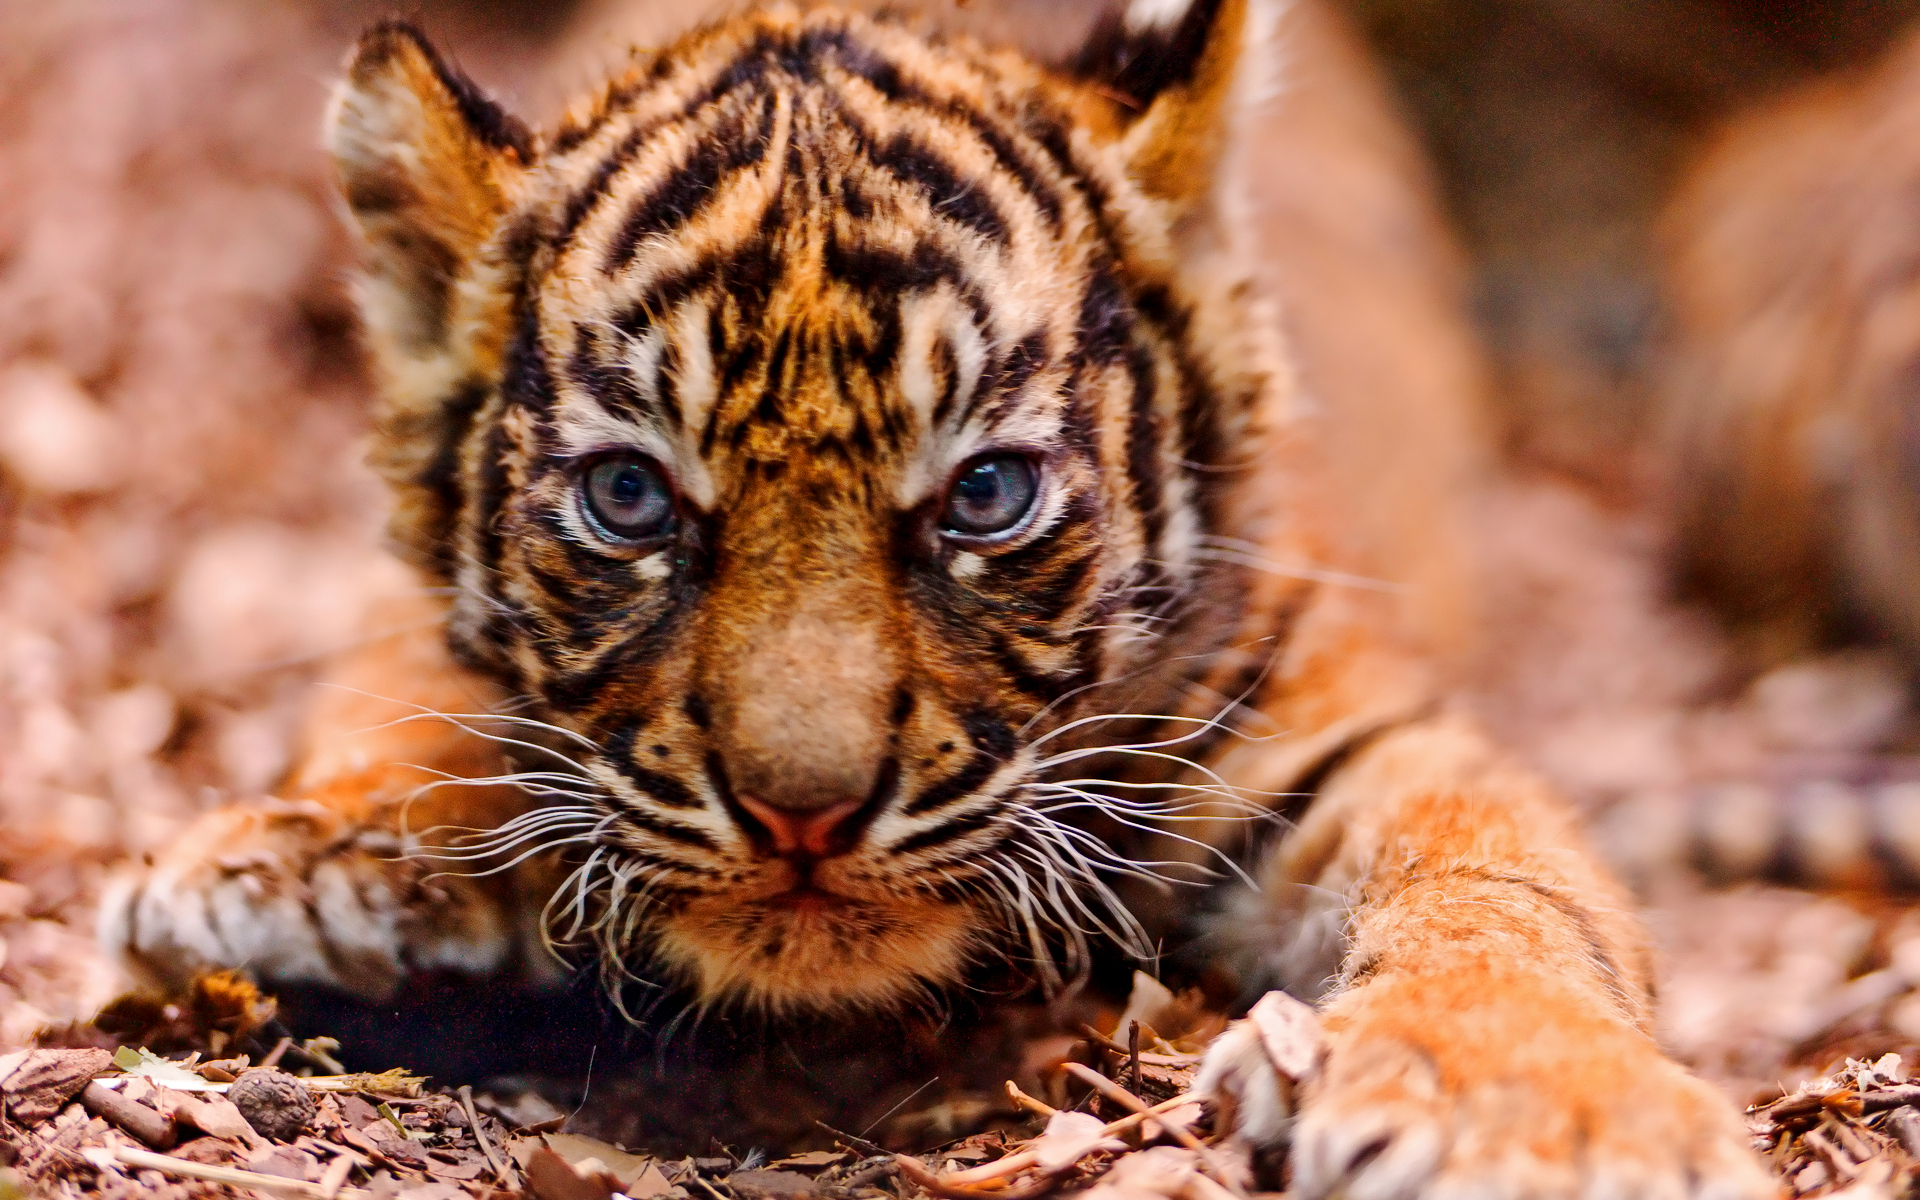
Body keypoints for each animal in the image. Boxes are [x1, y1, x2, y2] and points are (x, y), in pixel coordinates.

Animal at [98, 0, 1773, 1194]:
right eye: (631, 497)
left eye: (986, 495)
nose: (803, 816)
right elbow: (404, 668)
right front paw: (302, 854)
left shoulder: (1361, 732)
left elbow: (1502, 887)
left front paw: (1541, 1115)